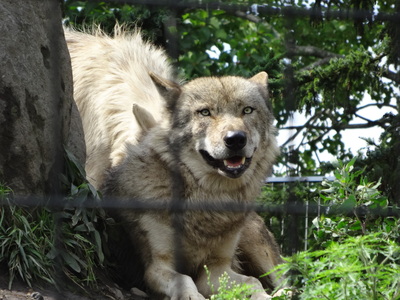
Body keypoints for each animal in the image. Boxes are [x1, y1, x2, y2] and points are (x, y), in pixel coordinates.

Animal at [65, 27, 284, 298]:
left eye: (247, 111)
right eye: (205, 112)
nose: (236, 139)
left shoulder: (216, 268)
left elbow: (252, 283)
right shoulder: (159, 264)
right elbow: (185, 282)